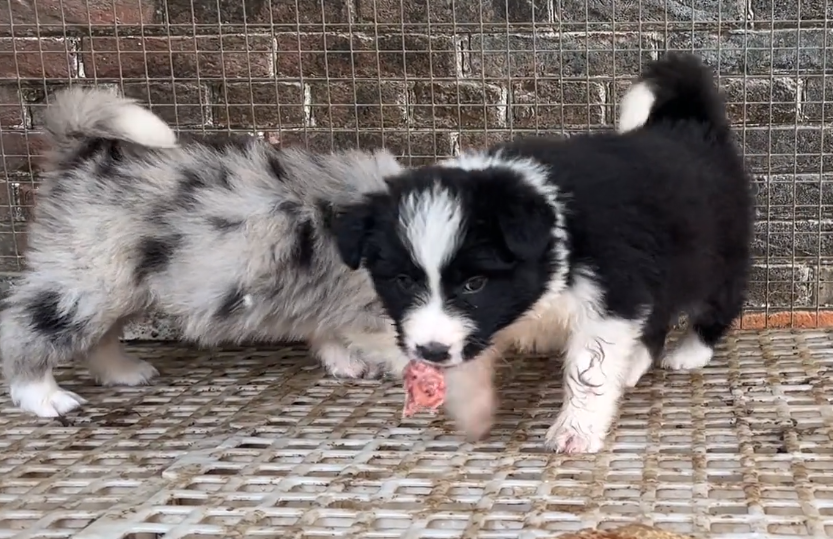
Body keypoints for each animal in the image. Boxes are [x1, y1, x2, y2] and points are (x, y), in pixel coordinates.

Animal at [2, 87, 406, 418]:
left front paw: (347, 363)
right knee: (25, 329)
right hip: (84, 281)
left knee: (99, 337)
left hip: (119, 284)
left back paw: (124, 372)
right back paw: (44, 396)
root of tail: (78, 158)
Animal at [334, 52, 752, 454]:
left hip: (715, 257)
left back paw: (690, 352)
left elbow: (590, 369)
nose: (431, 352)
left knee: (718, 304)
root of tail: (692, 123)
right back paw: (634, 364)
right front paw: (472, 410)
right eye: (403, 281)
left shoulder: (611, 294)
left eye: (474, 284)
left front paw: (575, 431)